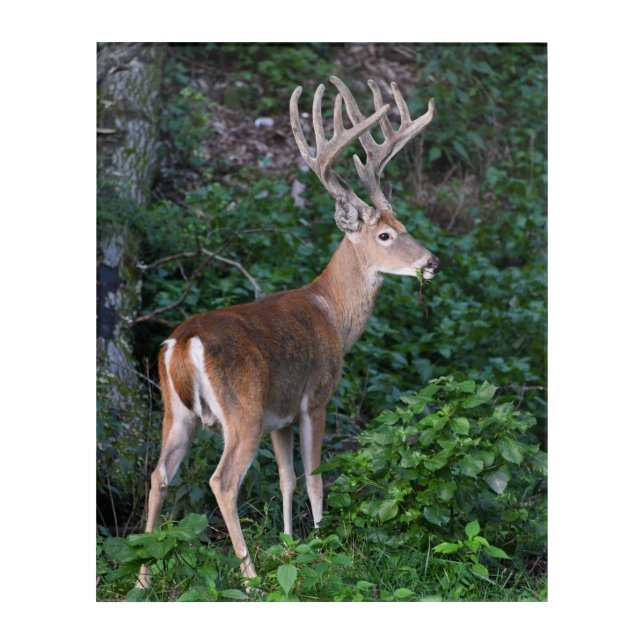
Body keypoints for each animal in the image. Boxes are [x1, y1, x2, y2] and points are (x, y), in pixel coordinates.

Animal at [136, 76, 441, 589]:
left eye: (404, 224)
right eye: (385, 236)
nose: (432, 261)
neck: (332, 313)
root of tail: (183, 343)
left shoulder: (279, 416)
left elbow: (286, 478)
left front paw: (290, 544)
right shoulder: (314, 397)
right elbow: (315, 475)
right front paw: (323, 545)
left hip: (177, 413)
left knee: (159, 475)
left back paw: (139, 576)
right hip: (242, 410)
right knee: (222, 481)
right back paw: (249, 576)